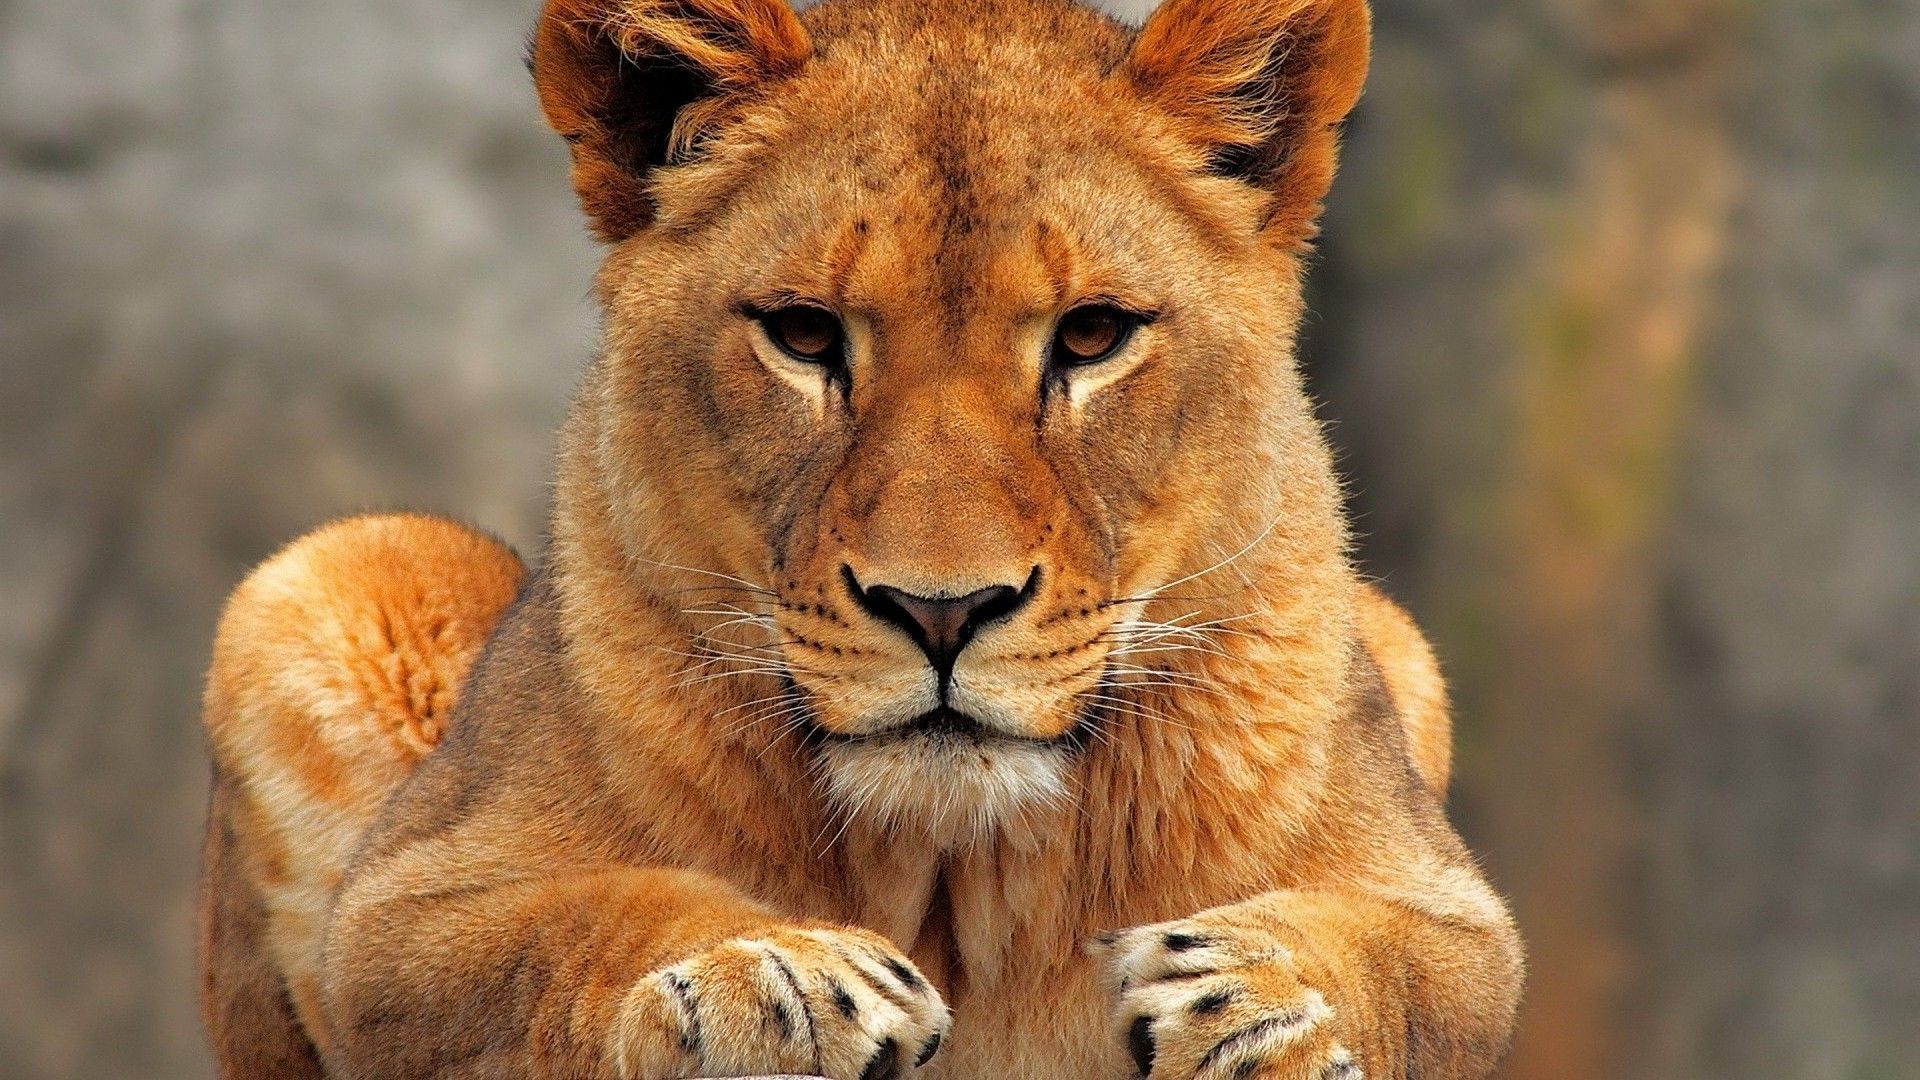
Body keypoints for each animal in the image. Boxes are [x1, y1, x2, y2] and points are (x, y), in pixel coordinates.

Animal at [196, 0, 1524, 1077]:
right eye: (803, 333)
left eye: (1093, 336)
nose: (942, 611)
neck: (952, 876)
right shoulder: (405, 909)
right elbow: (582, 917)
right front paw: (769, 972)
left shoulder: (1451, 908)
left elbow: (1403, 962)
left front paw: (1256, 995)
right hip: (330, 575)